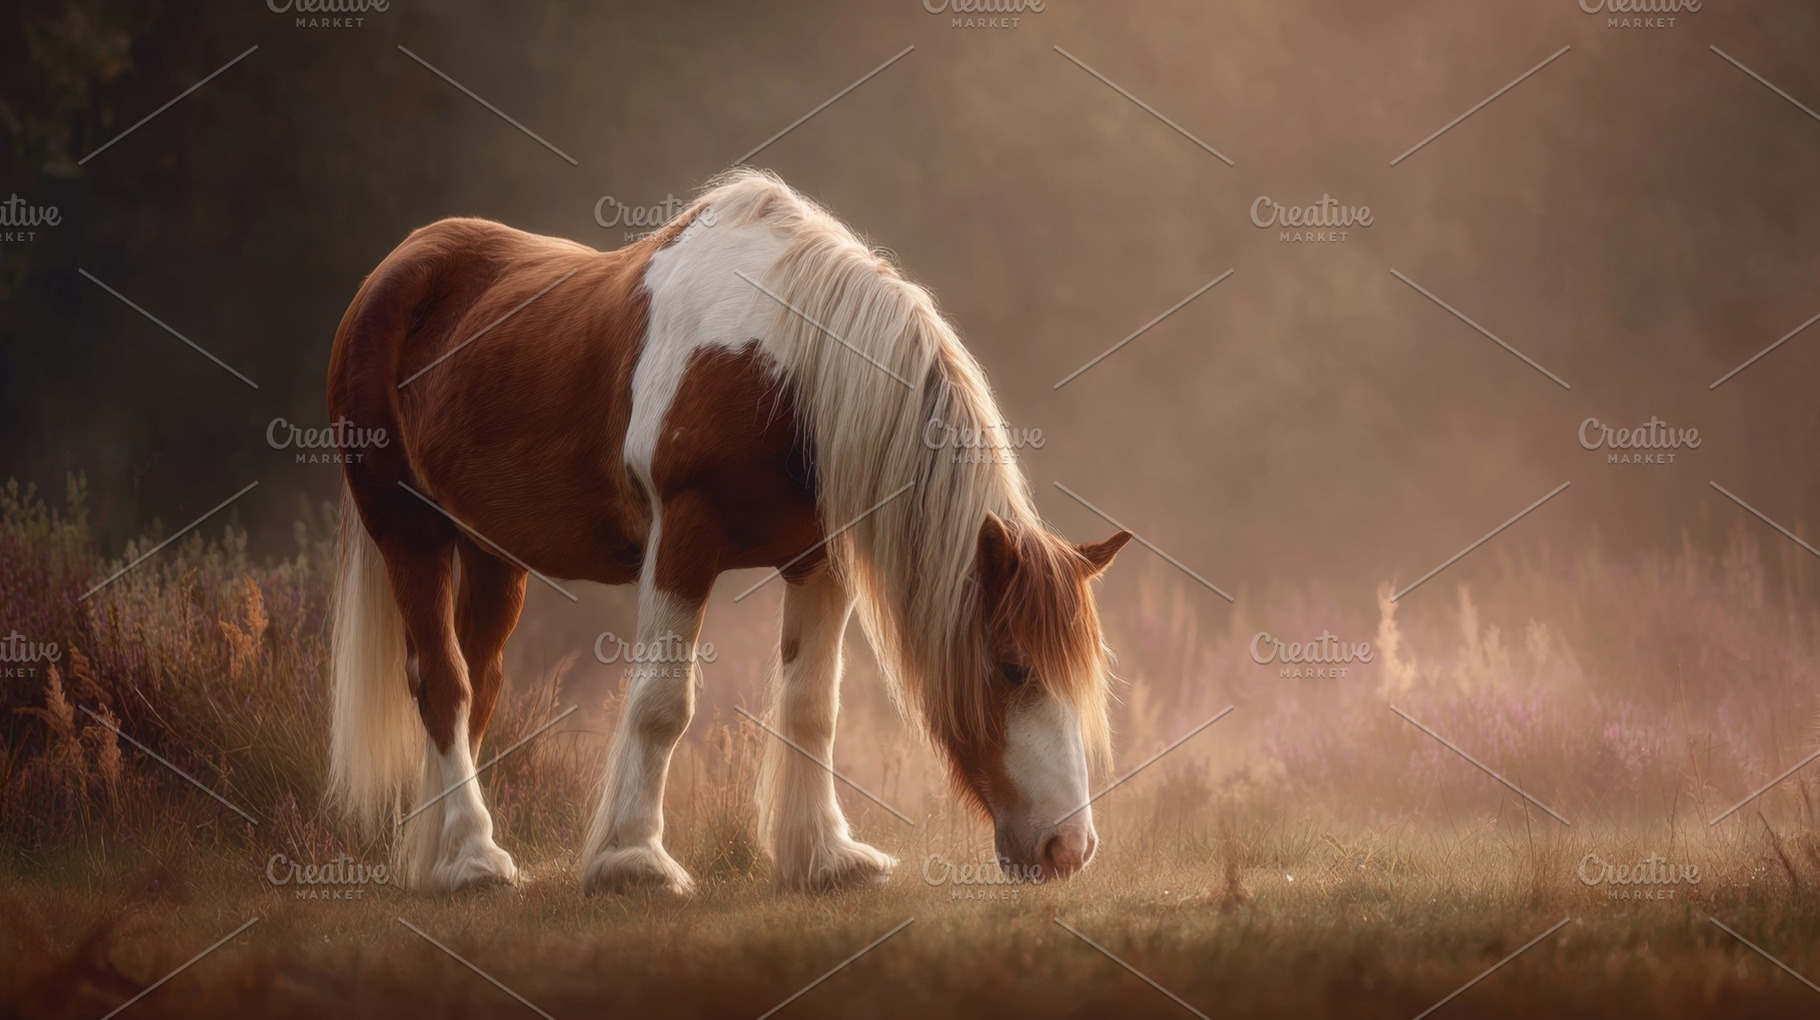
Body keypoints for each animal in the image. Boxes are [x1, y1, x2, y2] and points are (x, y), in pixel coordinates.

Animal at [323, 169, 1132, 895]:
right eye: (1013, 667)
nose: (1068, 848)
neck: (782, 366)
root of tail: (400, 267)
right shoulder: (684, 535)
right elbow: (662, 704)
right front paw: (634, 861)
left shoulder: (819, 560)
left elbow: (812, 707)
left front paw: (826, 856)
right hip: (410, 535)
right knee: (443, 682)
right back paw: (472, 859)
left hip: (495, 555)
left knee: (479, 682)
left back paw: (441, 856)